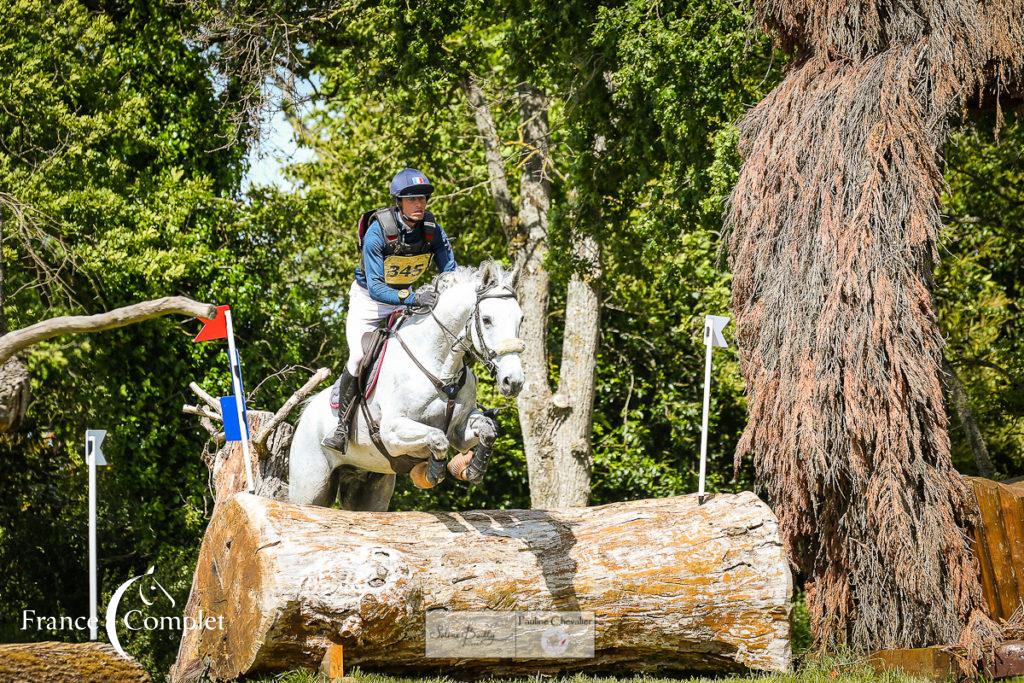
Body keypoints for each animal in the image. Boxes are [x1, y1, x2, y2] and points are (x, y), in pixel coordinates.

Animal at [290, 259, 524, 509]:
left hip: (370, 487)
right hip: (311, 487)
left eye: (520, 319)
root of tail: (306, 413)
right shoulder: (392, 431)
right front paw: (432, 473)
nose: (514, 381)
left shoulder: (459, 432)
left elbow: (487, 430)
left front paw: (475, 469)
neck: (441, 367)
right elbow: (437, 437)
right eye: (487, 320)